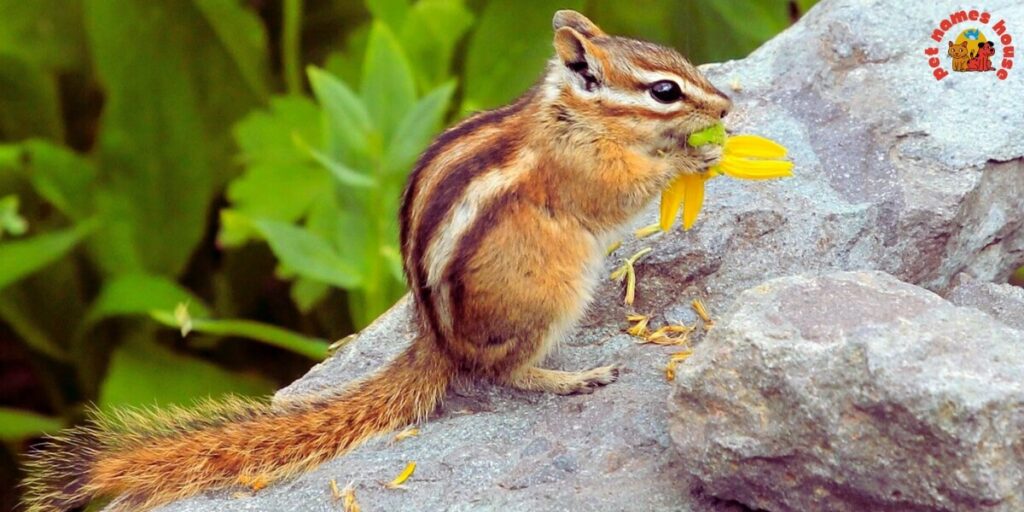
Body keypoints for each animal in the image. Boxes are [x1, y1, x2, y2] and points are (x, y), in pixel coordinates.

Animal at [21, 10, 730, 512]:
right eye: (664, 91)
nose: (724, 105)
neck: (574, 114)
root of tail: (439, 343)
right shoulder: (585, 171)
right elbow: (626, 191)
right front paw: (694, 154)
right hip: (552, 293)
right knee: (503, 372)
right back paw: (570, 378)